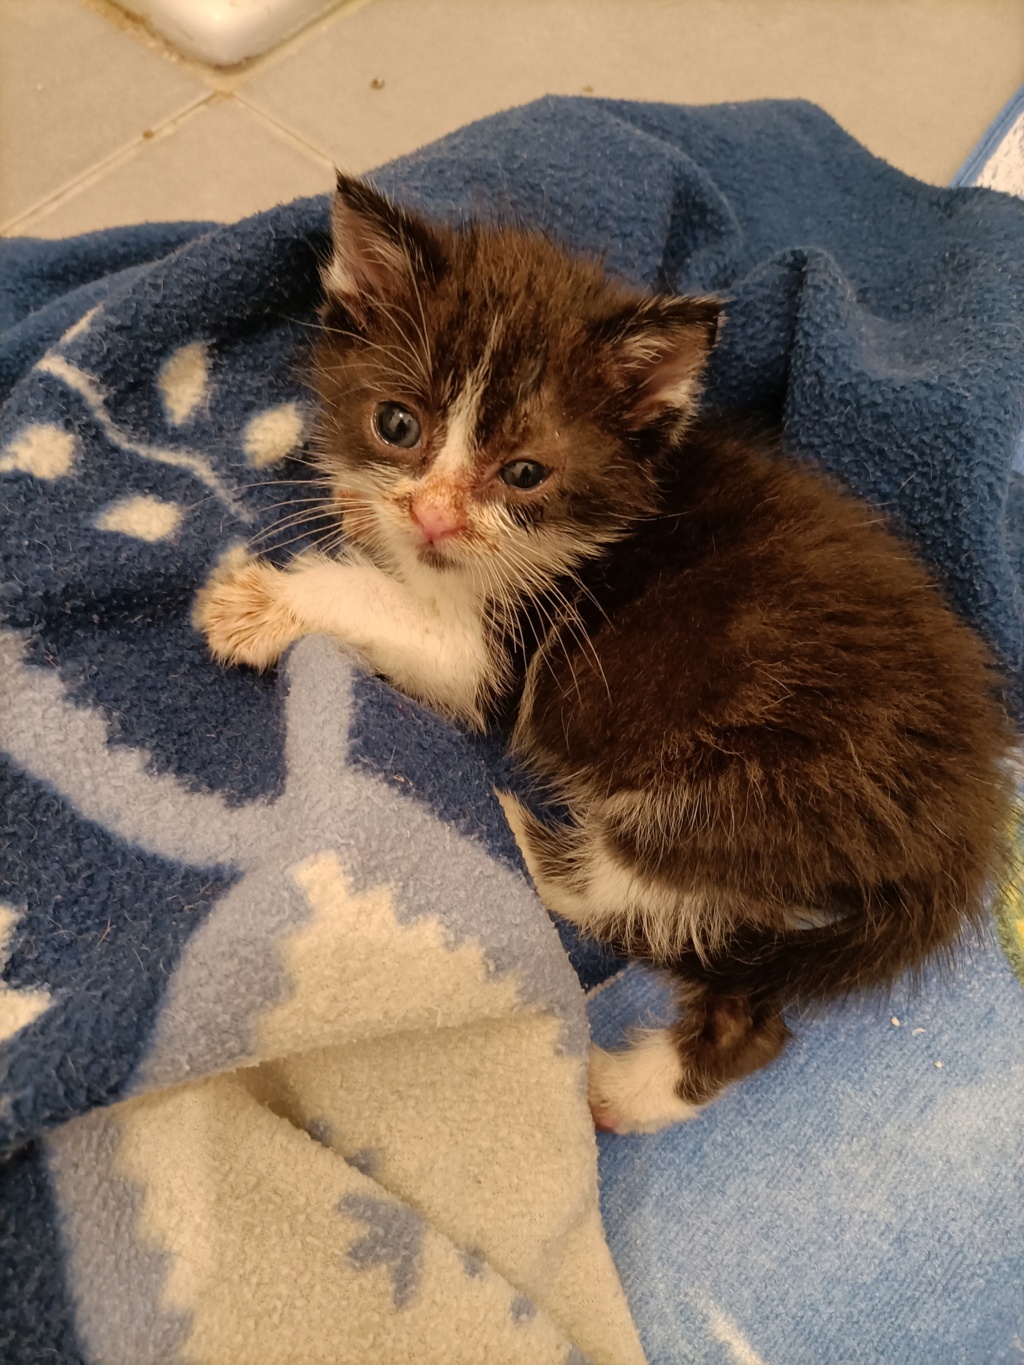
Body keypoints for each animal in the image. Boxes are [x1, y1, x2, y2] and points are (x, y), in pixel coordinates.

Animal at [193, 173, 1021, 1130]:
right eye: (396, 423)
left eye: (524, 473)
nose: (432, 515)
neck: (591, 532)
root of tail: (963, 833)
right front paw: (359, 511)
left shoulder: (499, 649)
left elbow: (393, 608)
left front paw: (259, 601)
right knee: (745, 993)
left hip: (730, 800)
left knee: (628, 900)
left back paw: (523, 863)